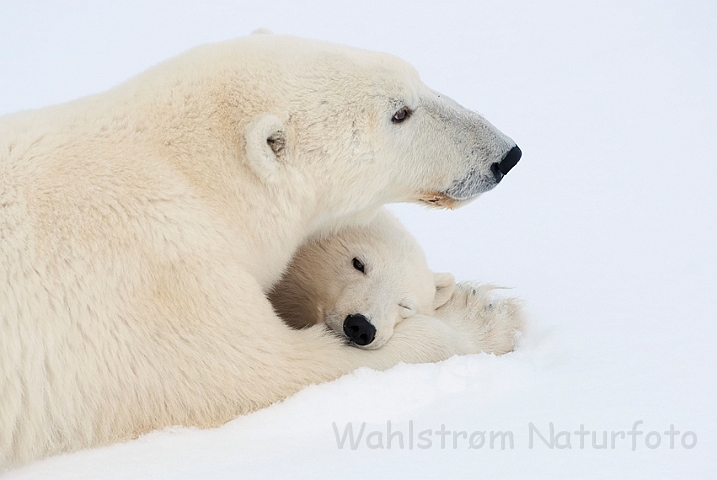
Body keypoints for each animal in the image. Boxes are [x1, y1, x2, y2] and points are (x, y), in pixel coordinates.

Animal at [0, 32, 520, 464]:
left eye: (418, 80)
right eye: (399, 113)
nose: (506, 155)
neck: (194, 177)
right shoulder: (157, 278)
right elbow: (265, 373)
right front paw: (486, 315)